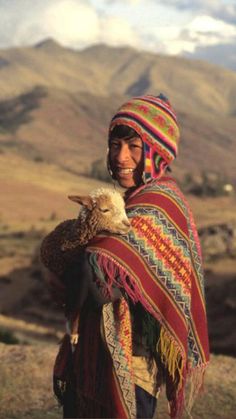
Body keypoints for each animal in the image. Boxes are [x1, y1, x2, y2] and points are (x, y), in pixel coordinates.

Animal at [39, 189, 130, 346]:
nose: (128, 225)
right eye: (105, 209)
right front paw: (73, 334)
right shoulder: (71, 283)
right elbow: (74, 309)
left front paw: (73, 333)